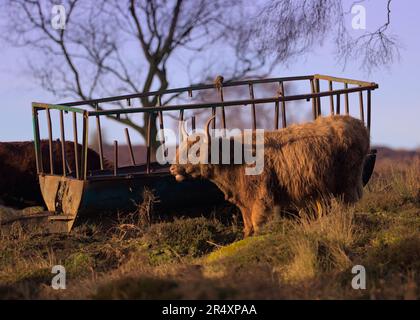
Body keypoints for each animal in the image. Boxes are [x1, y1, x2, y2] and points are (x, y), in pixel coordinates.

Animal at [169, 114, 370, 235]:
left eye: (195, 151)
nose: (172, 168)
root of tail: (356, 122)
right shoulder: (243, 200)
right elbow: (248, 225)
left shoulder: (260, 197)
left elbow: (257, 223)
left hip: (348, 180)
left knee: (349, 203)